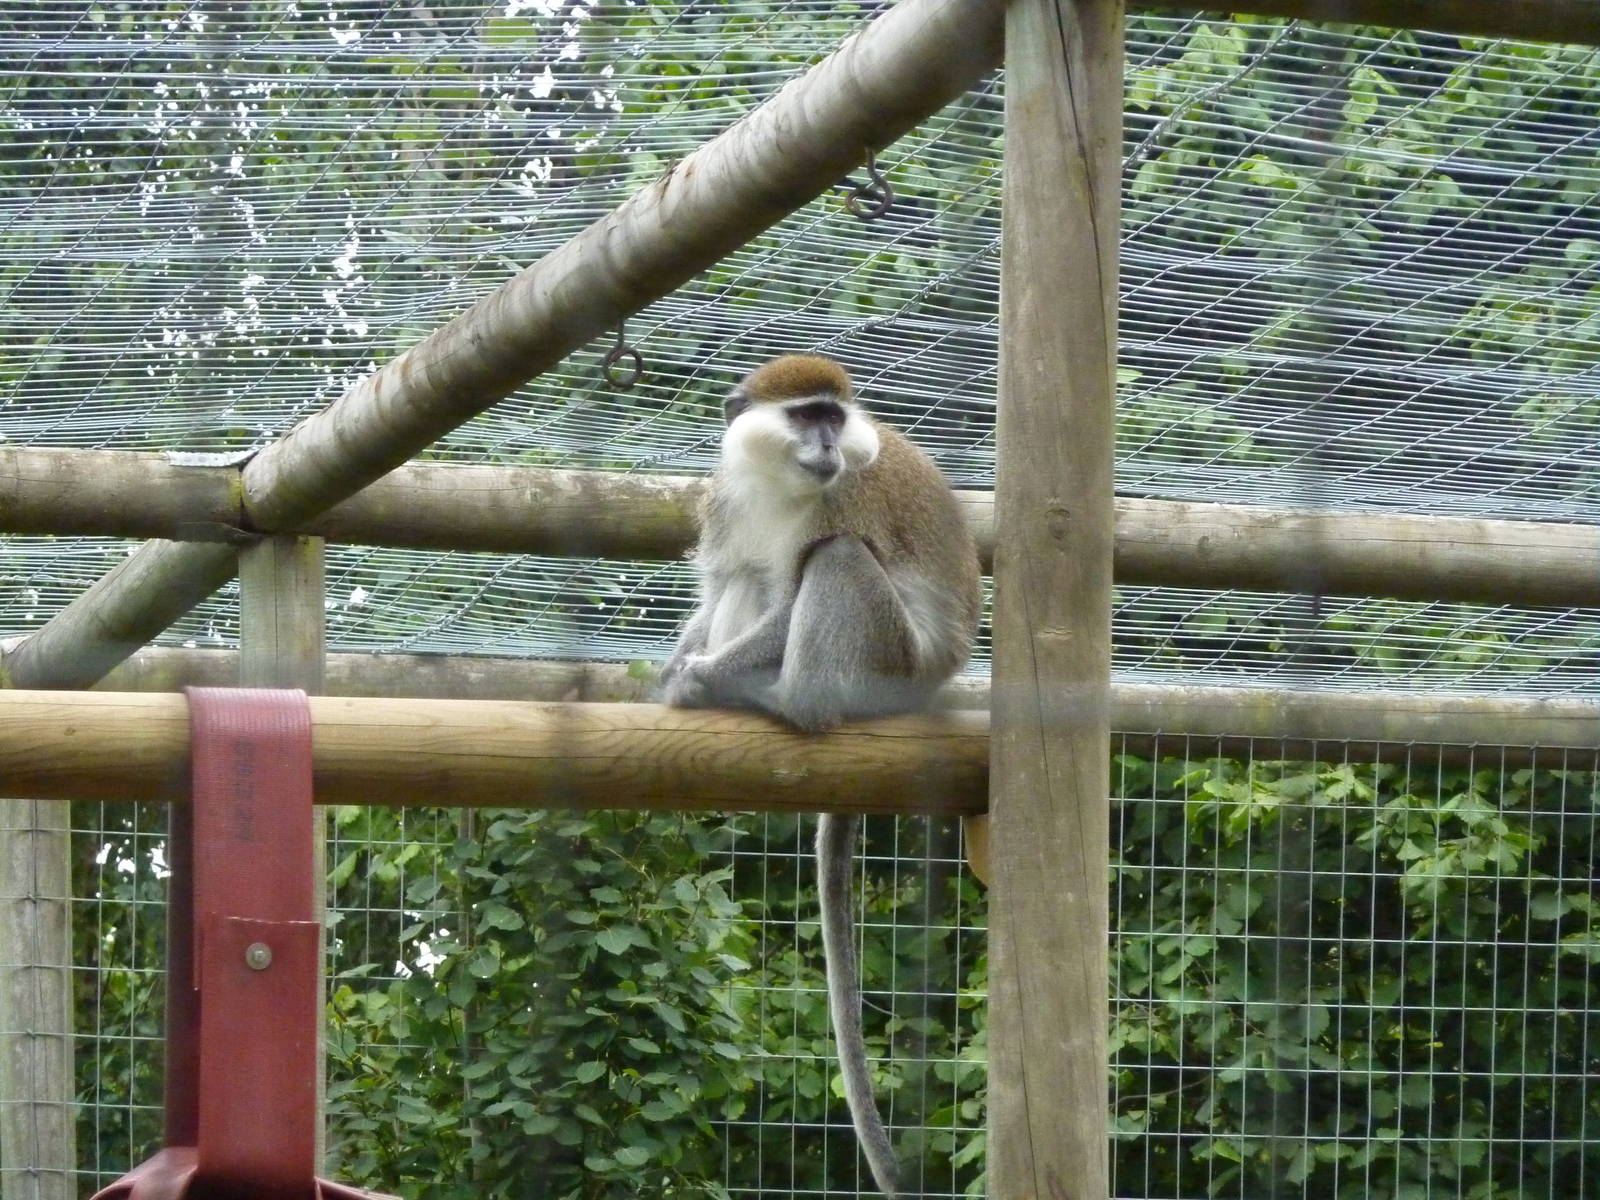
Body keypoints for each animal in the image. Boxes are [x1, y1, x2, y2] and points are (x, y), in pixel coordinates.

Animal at [661, 354, 981, 1198]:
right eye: (807, 416)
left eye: (835, 419)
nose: (832, 446)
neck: (779, 483)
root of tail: (932, 685)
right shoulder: (726, 499)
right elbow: (728, 584)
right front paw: (677, 668)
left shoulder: (847, 493)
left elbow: (800, 580)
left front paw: (701, 677)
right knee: (754, 579)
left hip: (886, 665)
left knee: (833, 561)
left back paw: (786, 699)